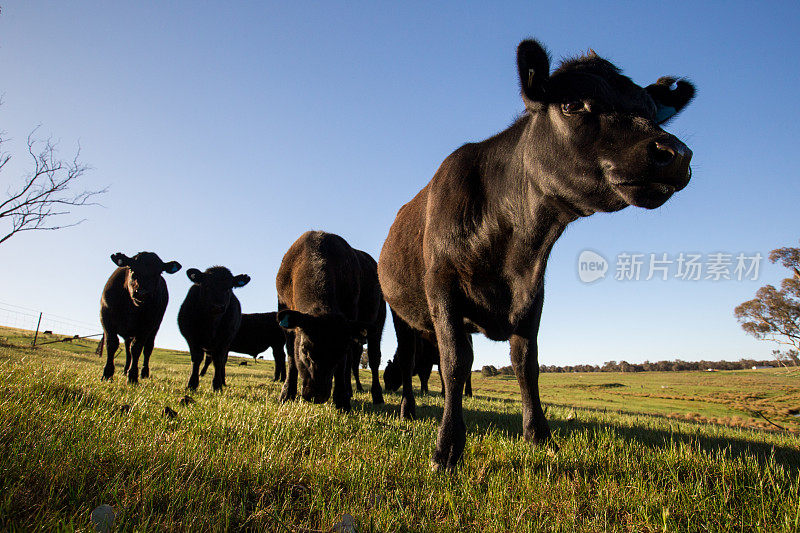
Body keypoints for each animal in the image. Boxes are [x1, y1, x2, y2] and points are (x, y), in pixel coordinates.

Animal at [99, 250, 181, 380]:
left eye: (159, 272)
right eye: (131, 268)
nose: (142, 293)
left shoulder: (147, 326)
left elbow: (137, 348)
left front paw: (133, 376)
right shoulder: (106, 317)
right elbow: (112, 343)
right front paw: (107, 373)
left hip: (155, 328)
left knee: (147, 348)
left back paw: (144, 372)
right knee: (127, 348)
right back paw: (125, 370)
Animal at [276, 231, 386, 410]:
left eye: (339, 352)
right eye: (305, 350)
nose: (318, 395)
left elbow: (343, 365)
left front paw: (341, 401)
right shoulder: (283, 310)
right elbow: (291, 356)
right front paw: (286, 393)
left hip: (378, 322)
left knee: (374, 358)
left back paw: (376, 395)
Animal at [376, 38, 692, 470]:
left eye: (648, 110)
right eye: (573, 103)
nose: (675, 153)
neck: (515, 249)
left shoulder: (533, 294)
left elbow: (526, 364)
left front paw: (538, 435)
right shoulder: (442, 287)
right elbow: (455, 363)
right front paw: (447, 449)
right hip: (403, 314)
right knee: (409, 360)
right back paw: (408, 409)